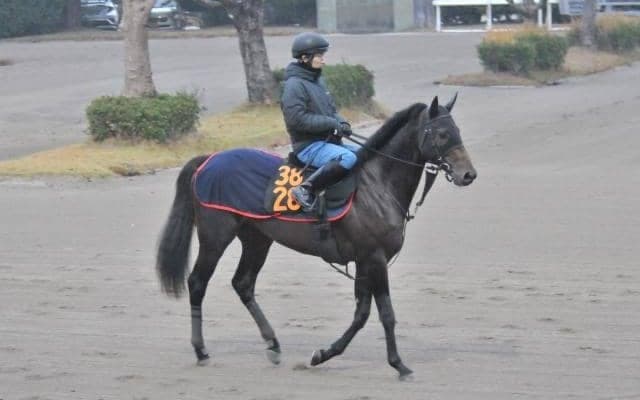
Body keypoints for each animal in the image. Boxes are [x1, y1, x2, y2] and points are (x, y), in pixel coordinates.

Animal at [156, 95, 477, 379]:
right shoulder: (374, 258)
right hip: (216, 237)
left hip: (257, 239)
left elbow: (361, 314)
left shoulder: (365, 260)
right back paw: (201, 351)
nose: (468, 174)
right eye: (442, 134)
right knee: (198, 283)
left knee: (243, 284)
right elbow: (386, 313)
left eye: (458, 131)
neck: (376, 184)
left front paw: (323, 354)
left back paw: (272, 344)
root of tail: (207, 160)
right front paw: (399, 364)